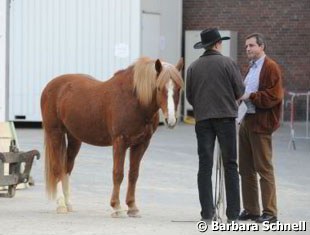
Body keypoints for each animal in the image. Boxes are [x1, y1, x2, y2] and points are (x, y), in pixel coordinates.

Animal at [40, 57, 183, 217]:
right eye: (158, 88)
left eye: (179, 88)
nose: (171, 120)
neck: (135, 100)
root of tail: (50, 86)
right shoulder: (120, 142)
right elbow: (118, 174)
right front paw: (117, 207)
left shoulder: (141, 144)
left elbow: (133, 174)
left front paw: (132, 207)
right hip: (55, 134)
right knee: (58, 168)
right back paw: (61, 205)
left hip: (74, 138)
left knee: (67, 168)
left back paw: (68, 204)